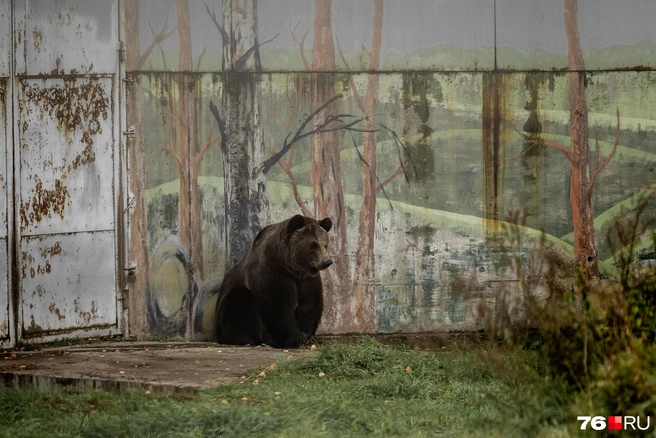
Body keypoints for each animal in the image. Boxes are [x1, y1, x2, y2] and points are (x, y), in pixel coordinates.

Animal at [215, 214, 333, 348]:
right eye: (314, 245)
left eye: (325, 244)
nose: (327, 261)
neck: (291, 268)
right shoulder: (273, 274)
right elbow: (279, 308)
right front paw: (293, 339)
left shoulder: (307, 281)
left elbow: (309, 306)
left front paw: (307, 337)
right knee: (239, 302)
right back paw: (246, 339)